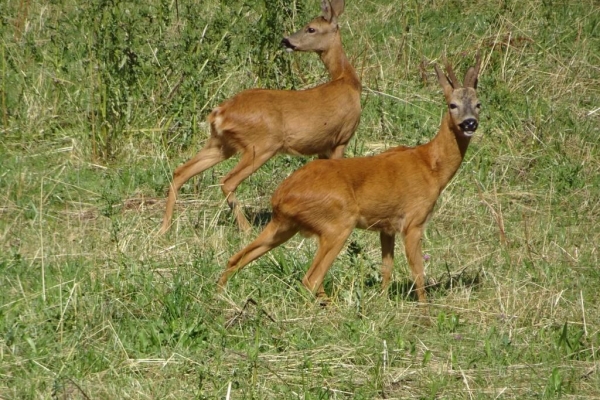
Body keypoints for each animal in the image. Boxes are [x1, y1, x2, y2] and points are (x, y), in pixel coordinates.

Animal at [158, 0, 360, 233]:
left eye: (311, 28)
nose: (286, 40)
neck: (346, 81)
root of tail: (220, 113)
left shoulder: (322, 147)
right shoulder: (341, 138)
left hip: (221, 143)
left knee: (180, 171)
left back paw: (165, 228)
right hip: (261, 145)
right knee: (227, 181)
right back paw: (246, 229)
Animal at [220, 53, 482, 304]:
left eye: (479, 104)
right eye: (452, 104)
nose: (470, 123)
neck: (431, 166)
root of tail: (280, 196)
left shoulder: (386, 227)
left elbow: (387, 268)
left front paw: (382, 302)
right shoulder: (413, 221)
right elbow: (418, 272)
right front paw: (424, 310)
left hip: (284, 225)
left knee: (236, 259)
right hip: (337, 223)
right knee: (311, 279)